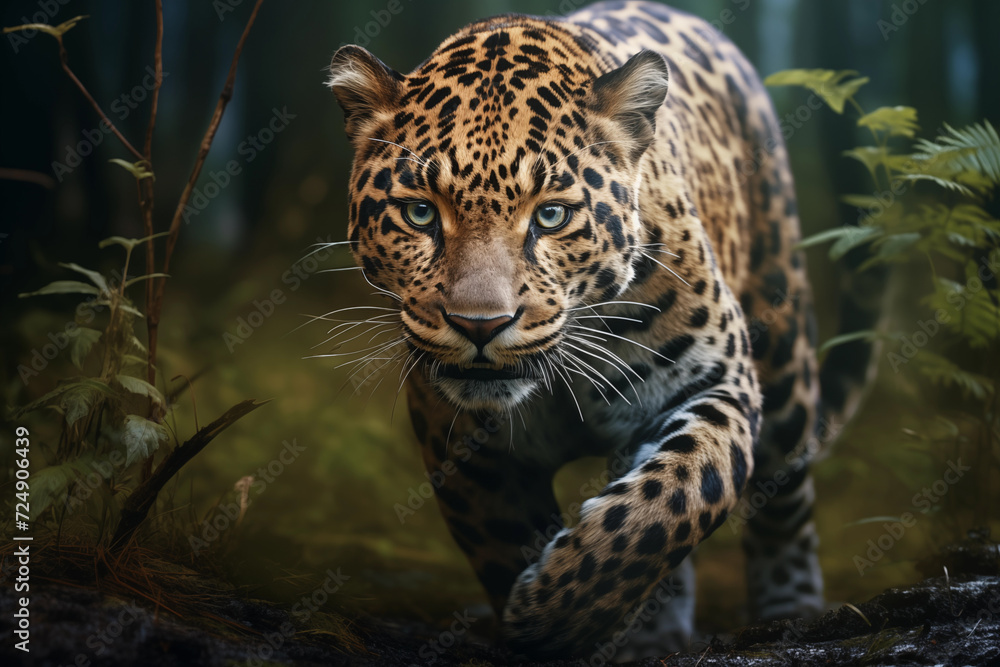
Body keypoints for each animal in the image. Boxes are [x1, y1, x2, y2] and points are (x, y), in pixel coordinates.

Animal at [325, 0, 877, 658]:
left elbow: (673, 500)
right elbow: (507, 541)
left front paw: (553, 613)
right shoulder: (456, 440)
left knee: (785, 496)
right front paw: (550, 623)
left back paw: (789, 611)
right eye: (419, 213)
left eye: (550, 216)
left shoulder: (717, 381)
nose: (479, 326)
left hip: (783, 340)